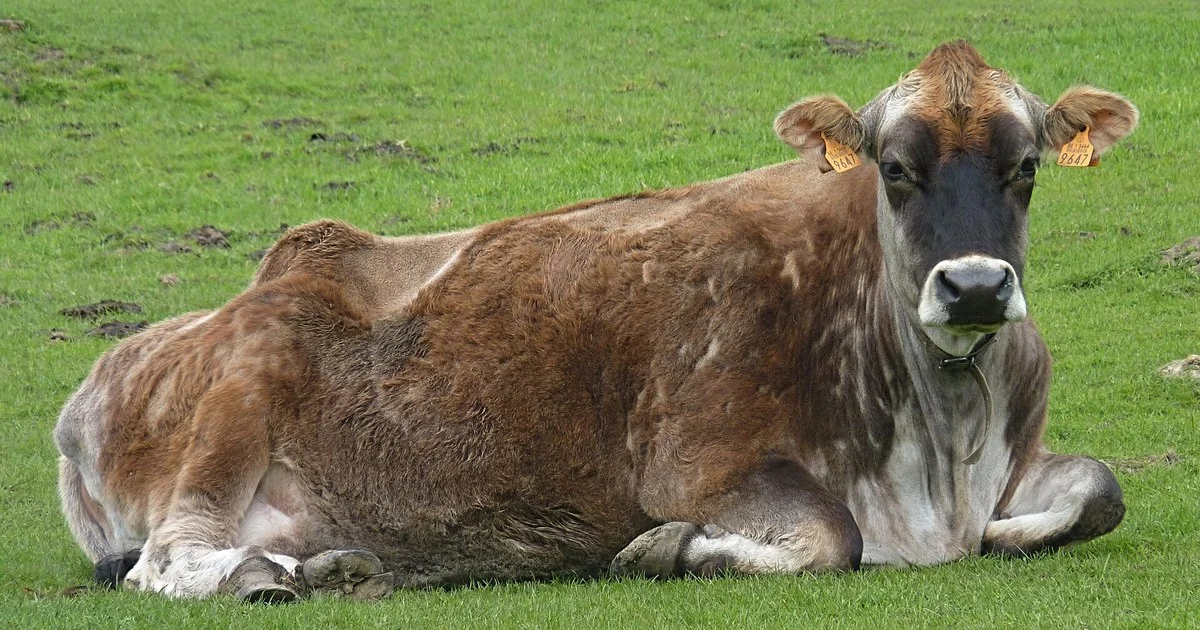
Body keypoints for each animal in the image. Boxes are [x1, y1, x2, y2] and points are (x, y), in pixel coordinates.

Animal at [54, 41, 1138, 601]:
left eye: (1027, 167)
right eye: (898, 169)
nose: (975, 288)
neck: (939, 454)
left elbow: (1102, 490)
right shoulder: (697, 462)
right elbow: (832, 535)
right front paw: (674, 550)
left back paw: (331, 563)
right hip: (241, 392)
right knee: (167, 557)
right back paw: (257, 574)